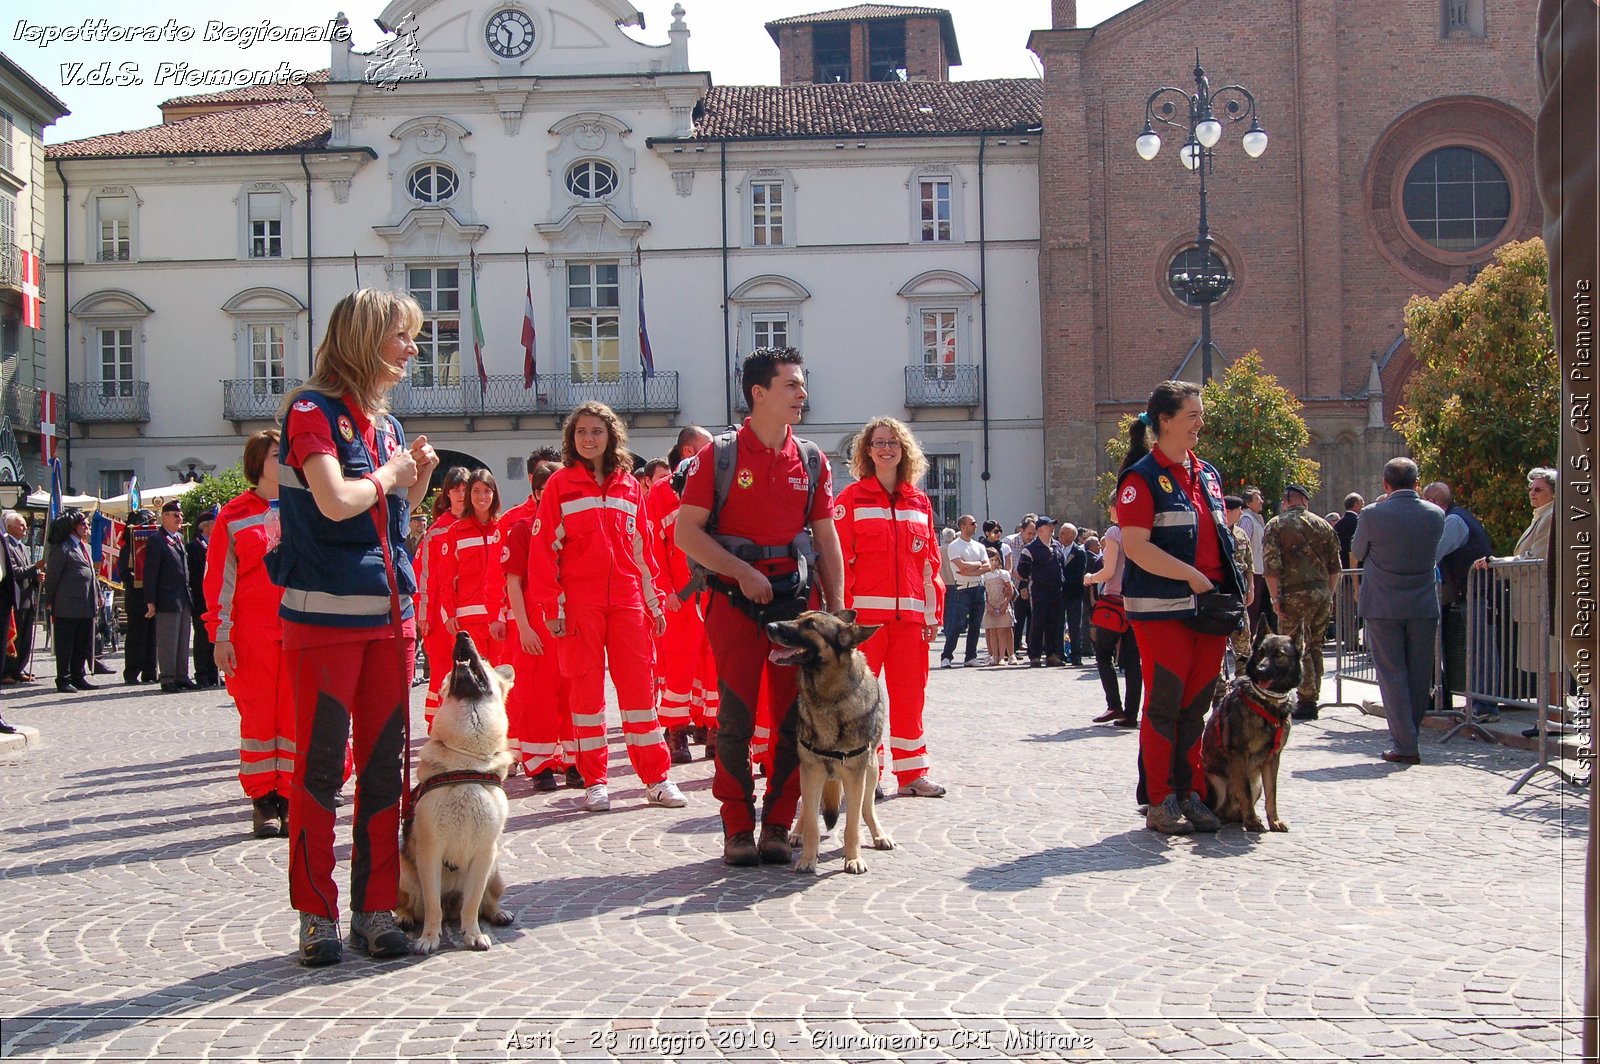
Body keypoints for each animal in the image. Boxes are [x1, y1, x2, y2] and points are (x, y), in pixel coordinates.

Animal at [396, 630, 515, 953]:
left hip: (495, 869)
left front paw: (473, 934)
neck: (467, 761)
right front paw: (429, 938)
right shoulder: (430, 852)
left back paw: (498, 913)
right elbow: (432, 905)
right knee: (415, 904)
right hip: (403, 873)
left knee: (484, 900)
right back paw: (404, 918)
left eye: (483, 658)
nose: (462, 634)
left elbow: (472, 904)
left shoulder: (485, 853)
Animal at [764, 604, 902, 870]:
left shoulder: (855, 776)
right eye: (798, 617)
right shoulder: (811, 772)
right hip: (806, 774)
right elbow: (811, 822)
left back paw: (879, 835)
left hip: (871, 771)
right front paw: (808, 858)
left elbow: (852, 825)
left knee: (867, 808)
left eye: (810, 625)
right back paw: (796, 833)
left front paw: (854, 858)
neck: (828, 699)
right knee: (806, 810)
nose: (769, 625)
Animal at [1203, 630, 1299, 832]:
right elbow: (1245, 791)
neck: (1268, 702)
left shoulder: (1273, 759)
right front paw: (1252, 822)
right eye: (1260, 652)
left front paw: (1274, 821)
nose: (1261, 670)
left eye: (1279, 654)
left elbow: (1272, 794)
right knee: (1216, 808)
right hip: (1217, 783)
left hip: (1258, 785)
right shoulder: (1239, 754)